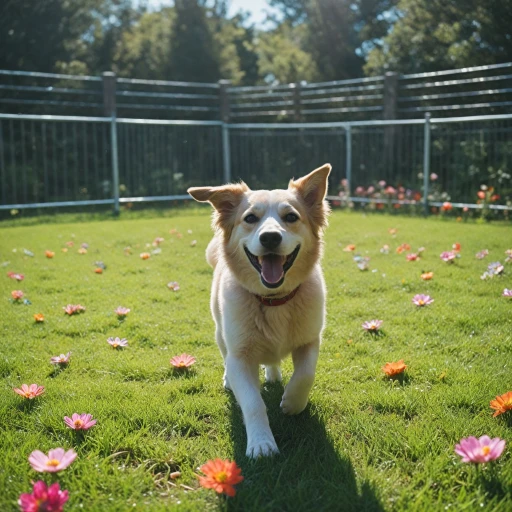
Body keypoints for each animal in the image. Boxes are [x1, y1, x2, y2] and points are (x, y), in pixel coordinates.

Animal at [189, 163, 332, 456]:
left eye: (291, 216)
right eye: (250, 218)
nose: (270, 237)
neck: (274, 300)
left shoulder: (310, 340)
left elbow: (306, 374)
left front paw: (292, 402)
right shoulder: (240, 357)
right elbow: (253, 403)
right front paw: (261, 443)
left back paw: (274, 376)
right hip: (221, 332)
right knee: (225, 355)